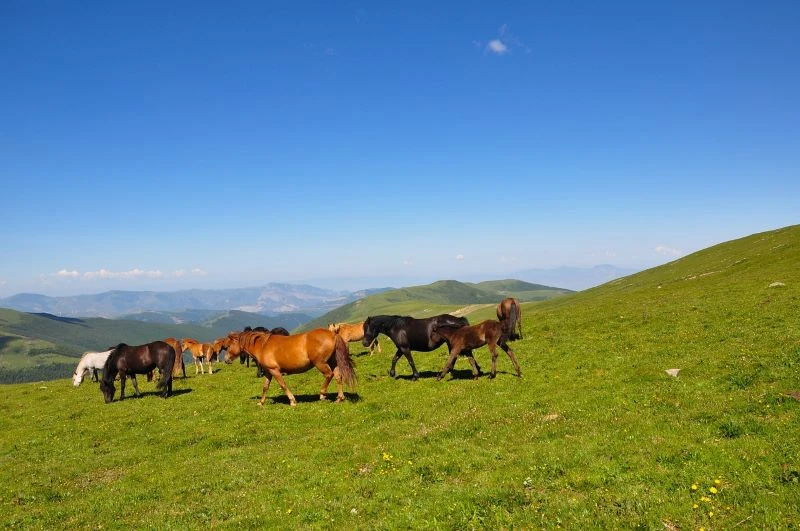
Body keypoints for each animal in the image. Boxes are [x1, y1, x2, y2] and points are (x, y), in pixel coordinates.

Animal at [220, 328, 354, 408]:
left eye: (228, 346)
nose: (226, 359)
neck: (262, 346)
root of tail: (333, 334)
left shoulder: (275, 371)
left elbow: (283, 385)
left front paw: (292, 401)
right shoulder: (268, 372)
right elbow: (265, 387)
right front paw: (261, 402)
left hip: (320, 363)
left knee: (329, 375)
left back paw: (322, 395)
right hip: (333, 362)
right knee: (338, 377)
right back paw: (339, 398)